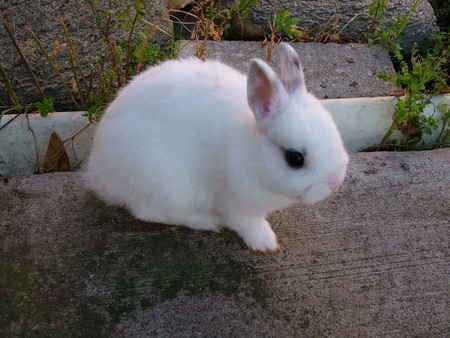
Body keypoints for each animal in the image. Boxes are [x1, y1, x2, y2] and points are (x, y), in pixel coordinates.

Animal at [86, 42, 350, 252]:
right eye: (295, 158)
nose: (336, 183)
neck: (252, 153)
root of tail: (99, 174)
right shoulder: (238, 204)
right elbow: (249, 224)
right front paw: (266, 243)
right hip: (167, 184)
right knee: (149, 212)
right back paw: (207, 222)